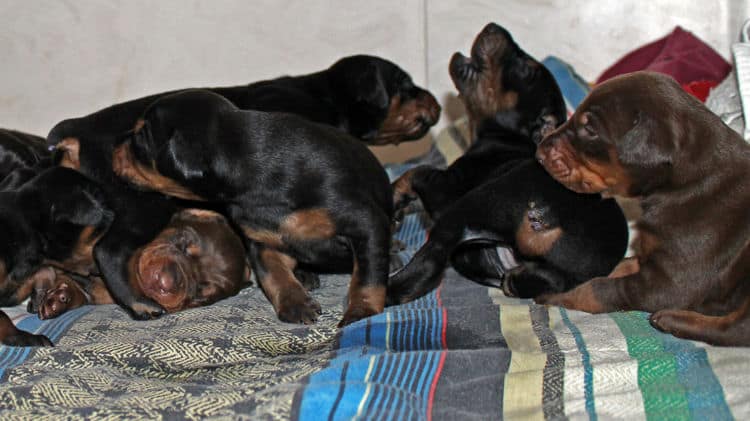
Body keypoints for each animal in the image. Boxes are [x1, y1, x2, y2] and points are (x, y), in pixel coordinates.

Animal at [113, 88, 394, 324]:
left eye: (141, 138)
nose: (114, 148)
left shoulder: (365, 223)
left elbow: (367, 277)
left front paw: (361, 312)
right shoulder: (262, 241)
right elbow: (274, 276)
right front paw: (295, 305)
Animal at [388, 23, 628, 302]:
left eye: (526, 68)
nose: (494, 26)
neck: (510, 136)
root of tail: (548, 219)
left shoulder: (447, 186)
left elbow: (416, 172)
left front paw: (394, 199)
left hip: (476, 203)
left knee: (430, 260)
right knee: (551, 280)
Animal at [536, 72, 750, 346]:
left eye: (590, 130)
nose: (540, 151)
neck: (680, 184)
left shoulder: (670, 284)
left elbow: (599, 289)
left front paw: (554, 295)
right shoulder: (650, 256)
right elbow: (617, 267)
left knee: (736, 329)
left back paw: (672, 320)